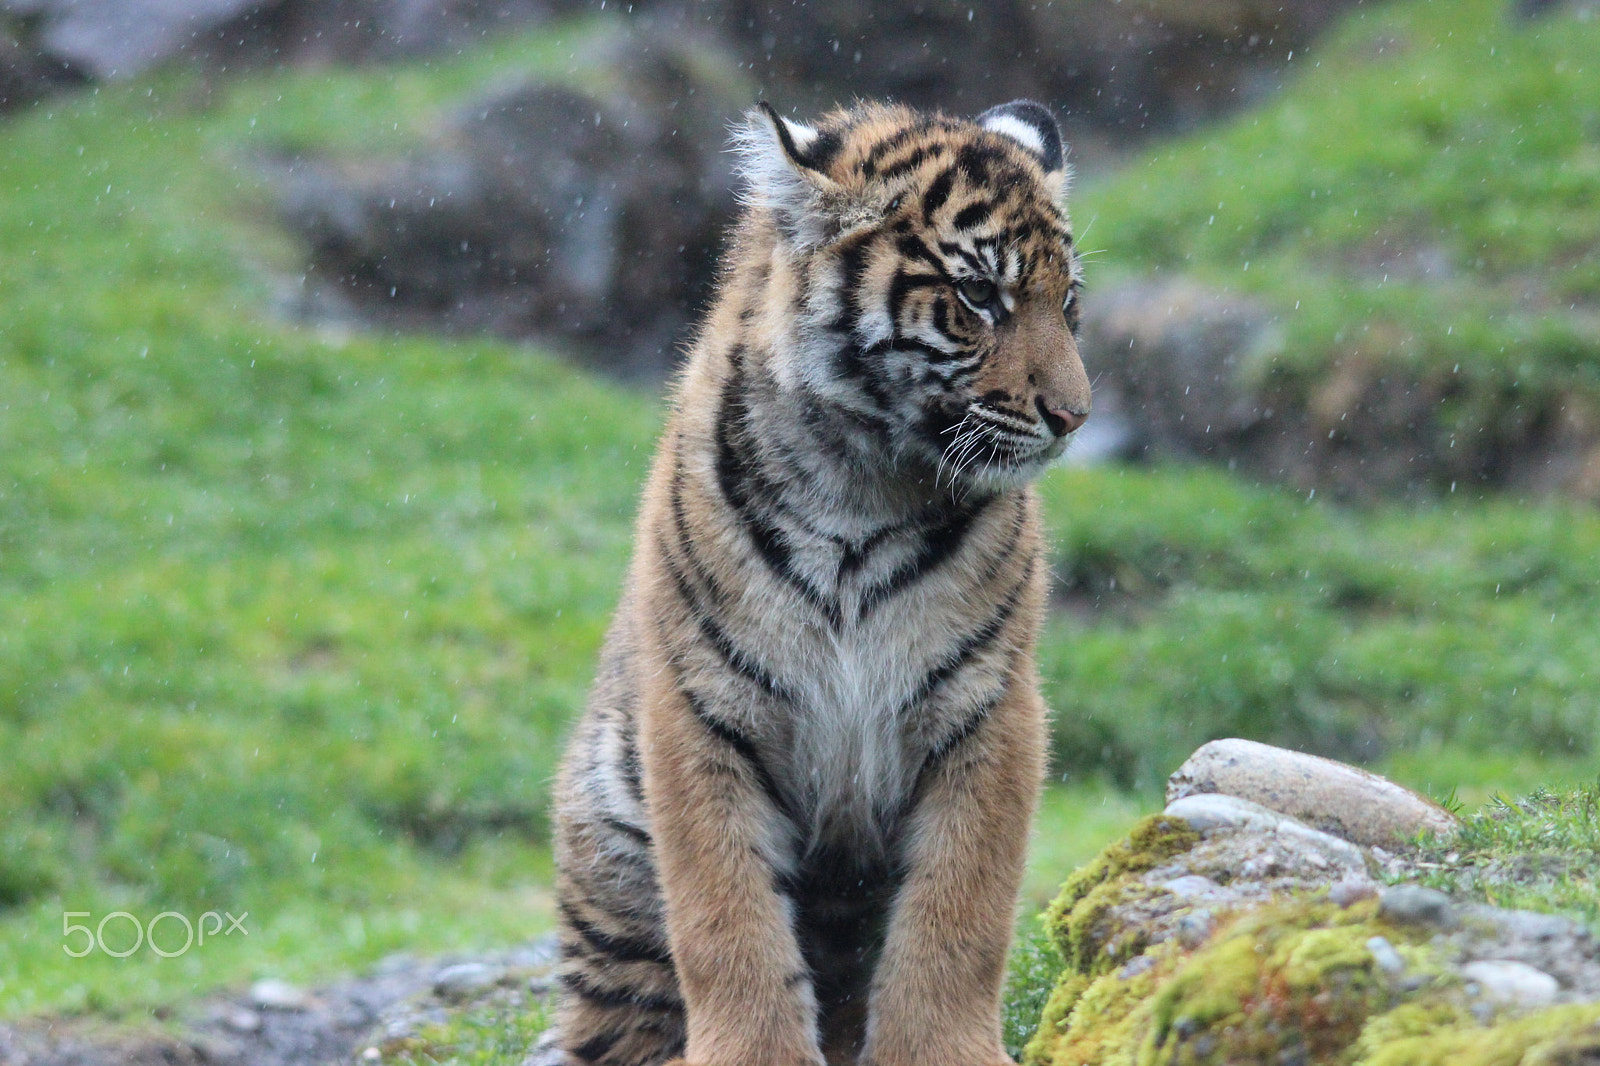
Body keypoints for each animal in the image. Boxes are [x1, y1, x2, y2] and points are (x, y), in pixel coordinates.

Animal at [548, 98, 1091, 1066]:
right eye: (978, 297)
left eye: (1068, 302)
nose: (1076, 416)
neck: (861, 482)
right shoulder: (700, 711)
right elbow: (726, 922)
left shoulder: (988, 710)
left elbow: (959, 915)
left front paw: (942, 1050)